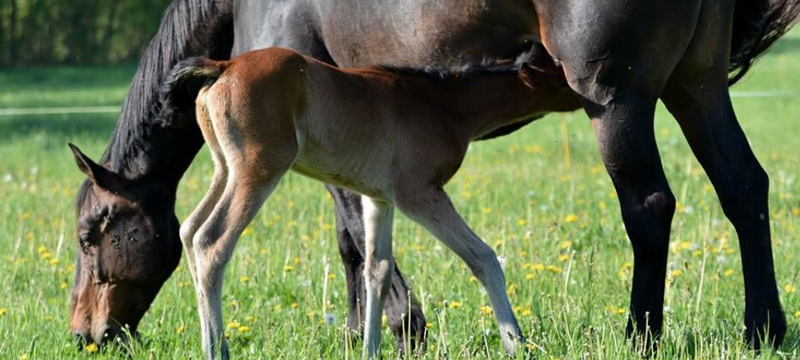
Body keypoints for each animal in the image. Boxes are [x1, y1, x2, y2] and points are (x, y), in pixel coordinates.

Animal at [164, 47, 576, 360]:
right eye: (558, 75)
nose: (586, 90)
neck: (441, 104)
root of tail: (223, 67)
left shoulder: (379, 198)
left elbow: (376, 269)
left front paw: (371, 350)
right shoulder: (419, 194)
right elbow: (482, 257)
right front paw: (516, 342)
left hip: (224, 169)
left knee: (189, 231)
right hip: (258, 170)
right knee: (212, 243)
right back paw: (217, 351)